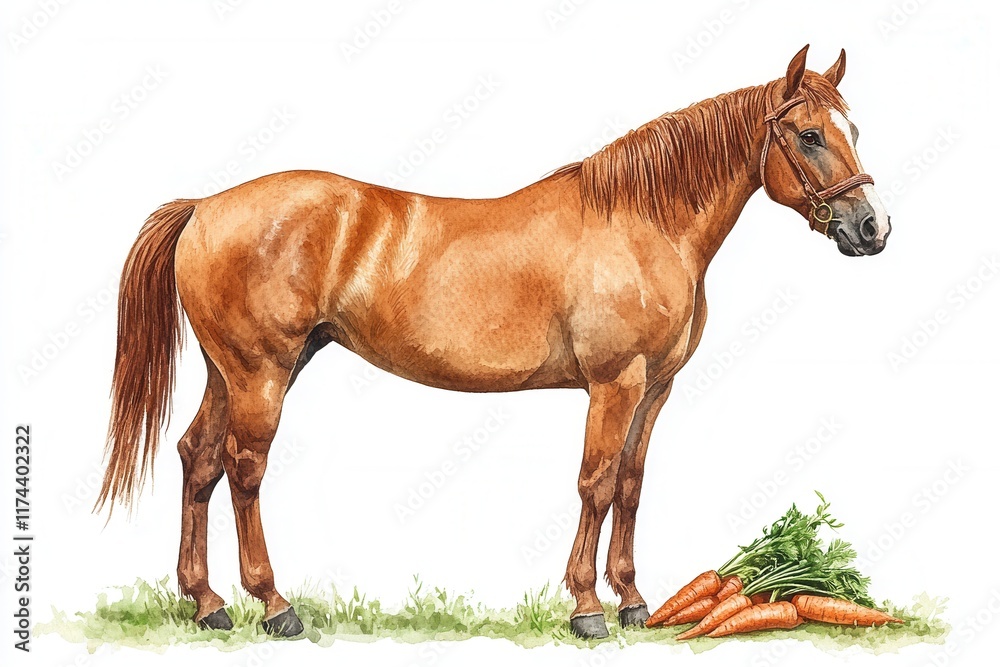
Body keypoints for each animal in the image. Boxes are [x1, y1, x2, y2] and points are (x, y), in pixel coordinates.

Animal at [96, 45, 890, 639]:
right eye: (810, 134)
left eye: (853, 128)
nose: (872, 227)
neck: (642, 221)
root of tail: (205, 206)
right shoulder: (615, 382)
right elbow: (596, 482)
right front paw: (587, 608)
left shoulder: (655, 387)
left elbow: (631, 484)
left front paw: (634, 601)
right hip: (261, 372)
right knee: (244, 470)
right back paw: (274, 606)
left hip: (233, 371)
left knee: (198, 459)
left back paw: (207, 605)